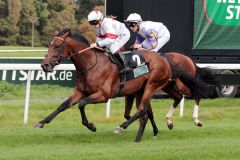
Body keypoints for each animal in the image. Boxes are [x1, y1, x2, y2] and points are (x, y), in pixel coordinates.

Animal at [35, 28, 180, 141]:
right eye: (50, 45)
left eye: (57, 46)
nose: (44, 65)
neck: (90, 64)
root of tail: (164, 59)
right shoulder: (80, 91)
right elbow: (63, 105)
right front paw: (41, 122)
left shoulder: (103, 95)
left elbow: (82, 104)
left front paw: (91, 126)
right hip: (140, 90)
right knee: (144, 114)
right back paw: (140, 137)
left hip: (151, 85)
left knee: (142, 110)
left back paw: (121, 127)